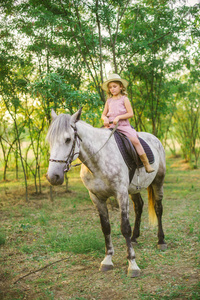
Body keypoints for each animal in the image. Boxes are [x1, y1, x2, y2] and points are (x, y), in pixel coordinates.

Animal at [46, 109, 166, 278]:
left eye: (68, 139)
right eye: (49, 140)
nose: (53, 177)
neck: (98, 160)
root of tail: (154, 138)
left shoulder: (121, 193)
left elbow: (124, 227)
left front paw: (132, 264)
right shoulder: (96, 197)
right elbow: (106, 227)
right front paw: (108, 259)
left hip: (158, 181)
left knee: (158, 208)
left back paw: (161, 241)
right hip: (133, 189)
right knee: (139, 207)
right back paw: (135, 237)